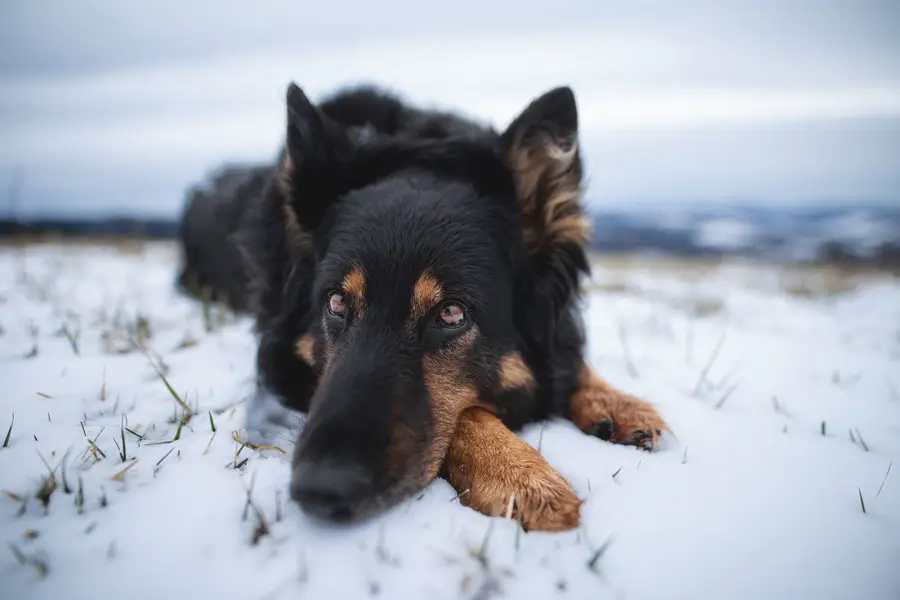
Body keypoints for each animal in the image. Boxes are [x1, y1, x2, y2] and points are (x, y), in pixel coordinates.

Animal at [178, 82, 668, 532]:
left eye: (451, 313)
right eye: (336, 301)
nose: (320, 490)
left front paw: (615, 402)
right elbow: (468, 414)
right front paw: (520, 474)